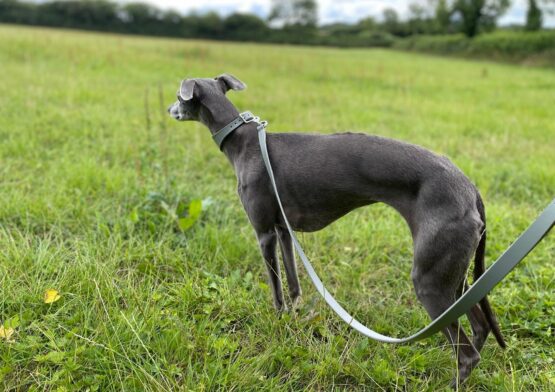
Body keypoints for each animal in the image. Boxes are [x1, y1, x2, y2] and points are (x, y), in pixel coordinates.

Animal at [167, 73, 506, 386]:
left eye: (179, 96)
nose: (169, 109)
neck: (243, 140)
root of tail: (470, 189)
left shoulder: (264, 233)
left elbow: (276, 289)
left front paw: (277, 320)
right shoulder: (284, 230)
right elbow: (294, 284)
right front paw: (295, 319)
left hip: (430, 280)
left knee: (466, 353)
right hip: (454, 277)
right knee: (479, 327)